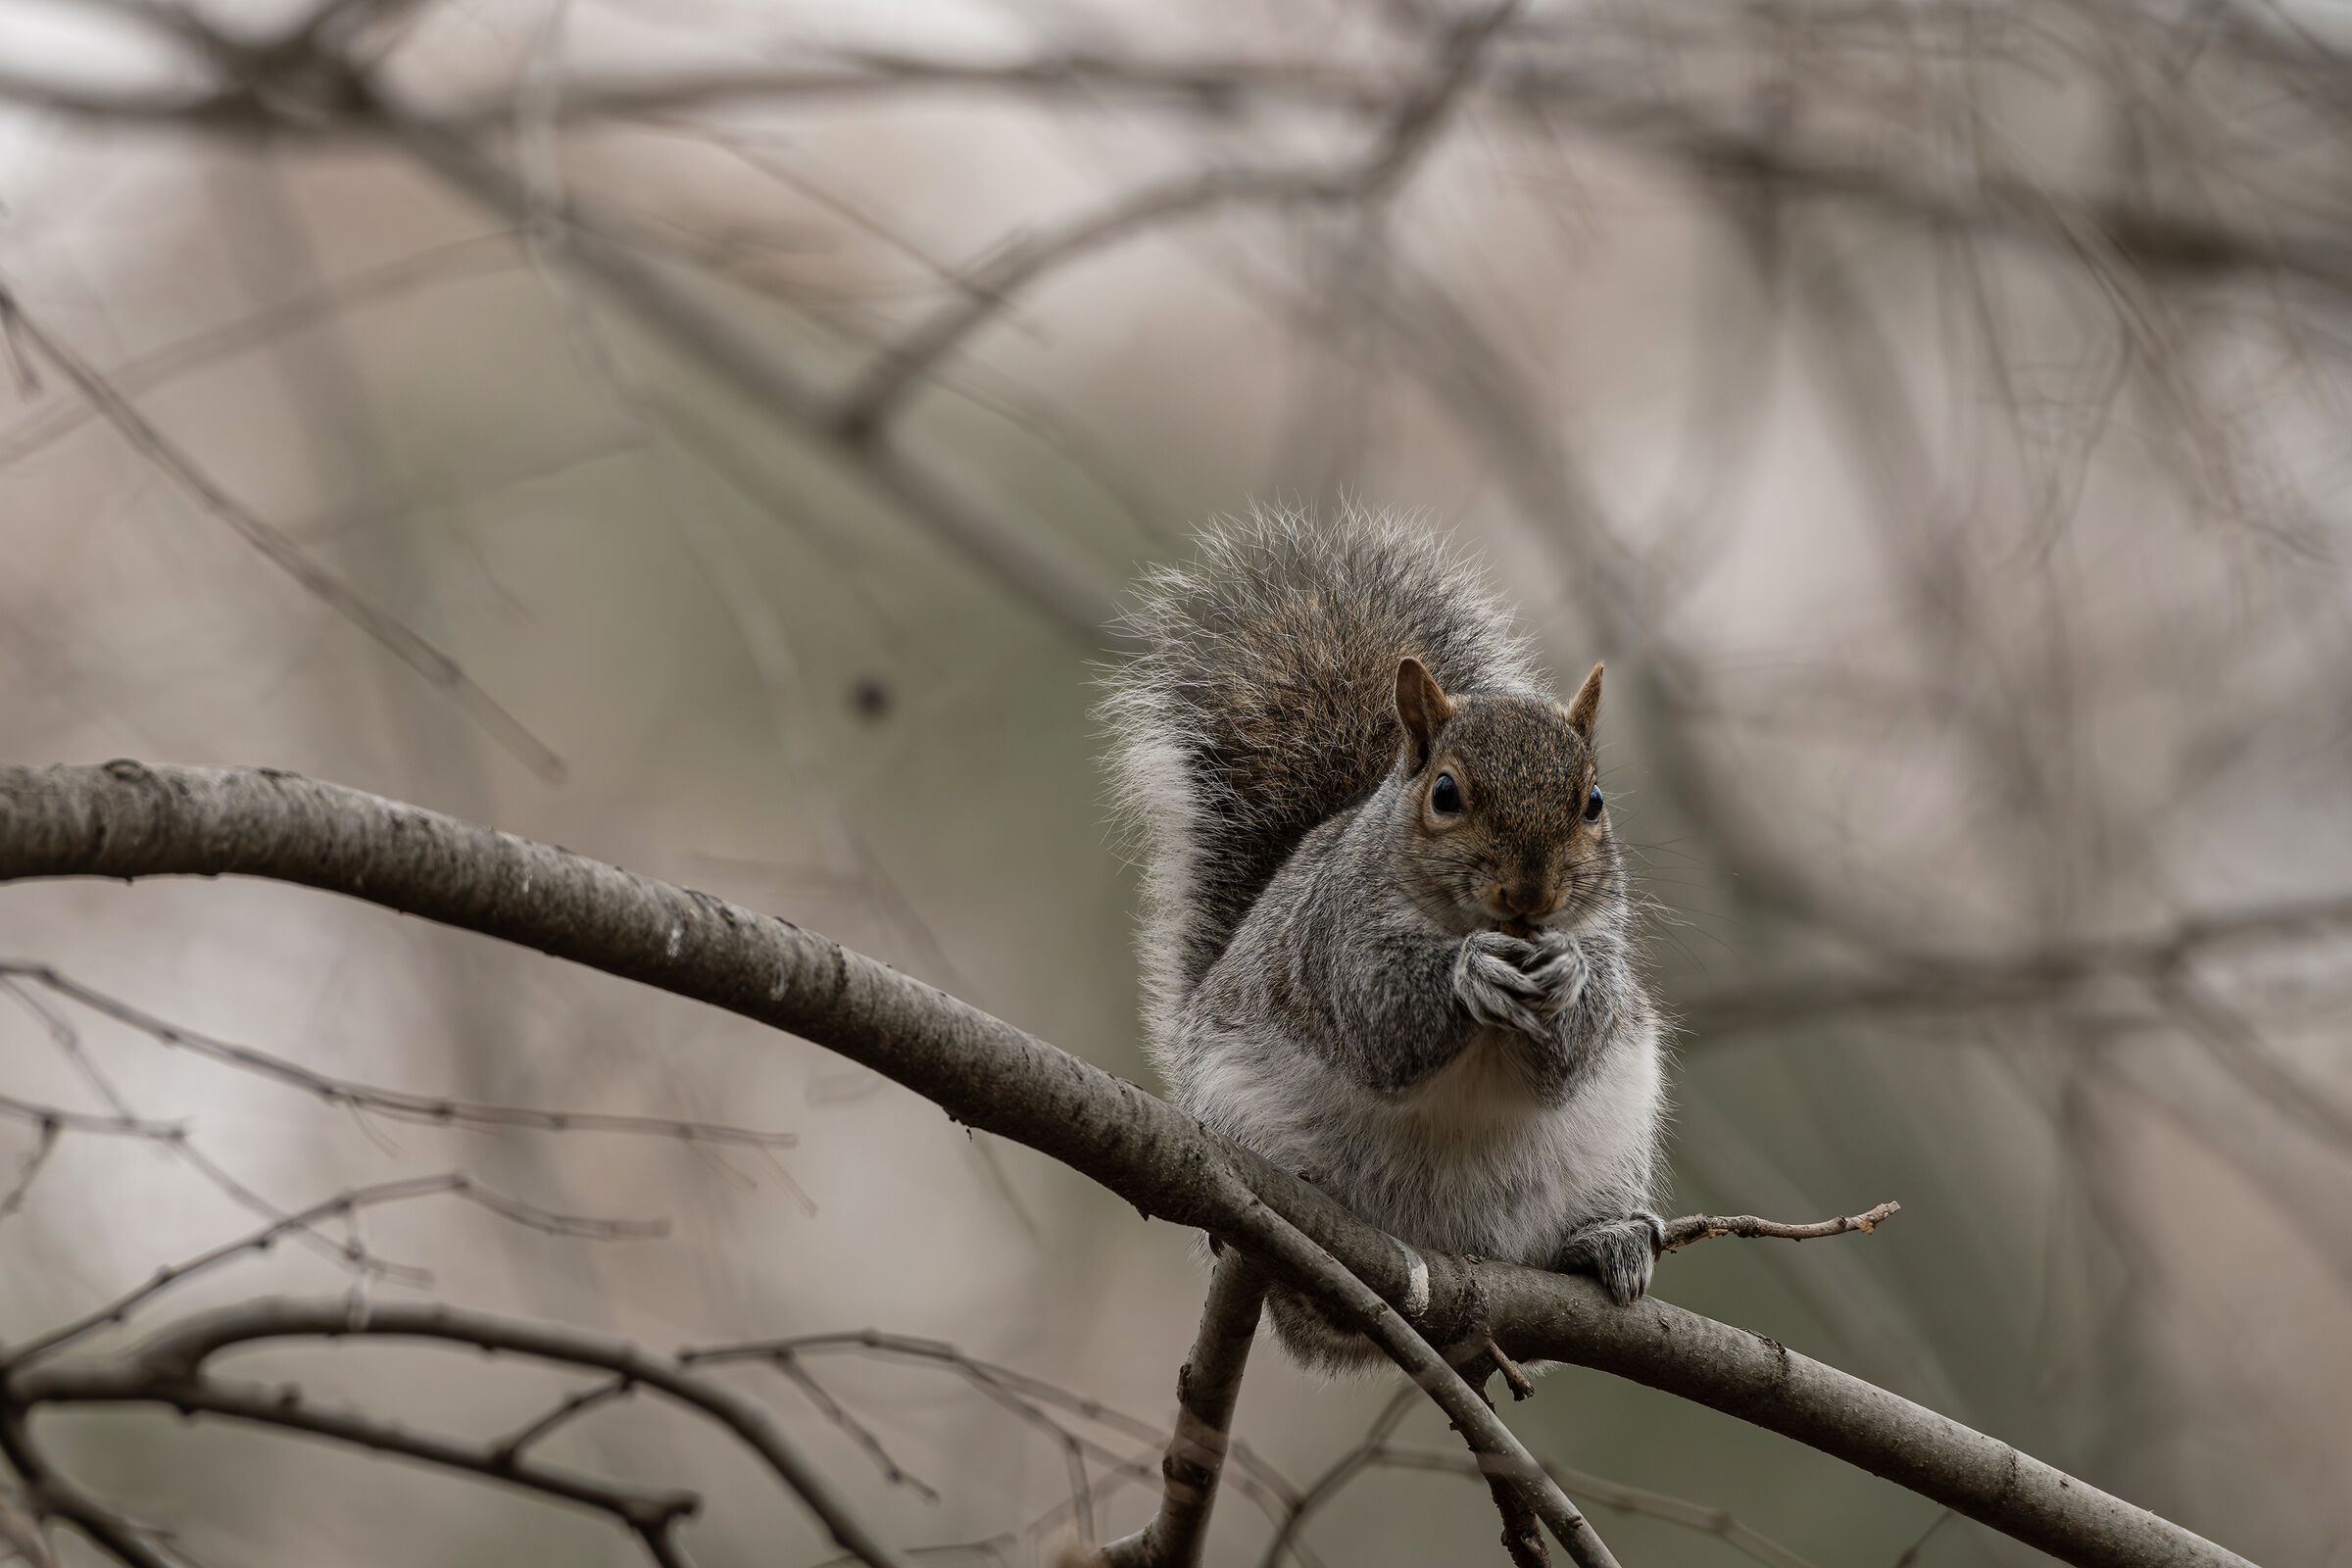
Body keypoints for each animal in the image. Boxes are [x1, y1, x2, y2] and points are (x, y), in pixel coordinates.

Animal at [1101, 505, 1667, 1372]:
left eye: (1594, 802)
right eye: (1445, 794)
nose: (1531, 897)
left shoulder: (1606, 944)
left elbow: (1568, 1057)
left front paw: (1566, 973)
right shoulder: (1333, 941)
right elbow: (1381, 1027)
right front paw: (1471, 976)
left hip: (1614, 1132)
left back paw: (1605, 1241)